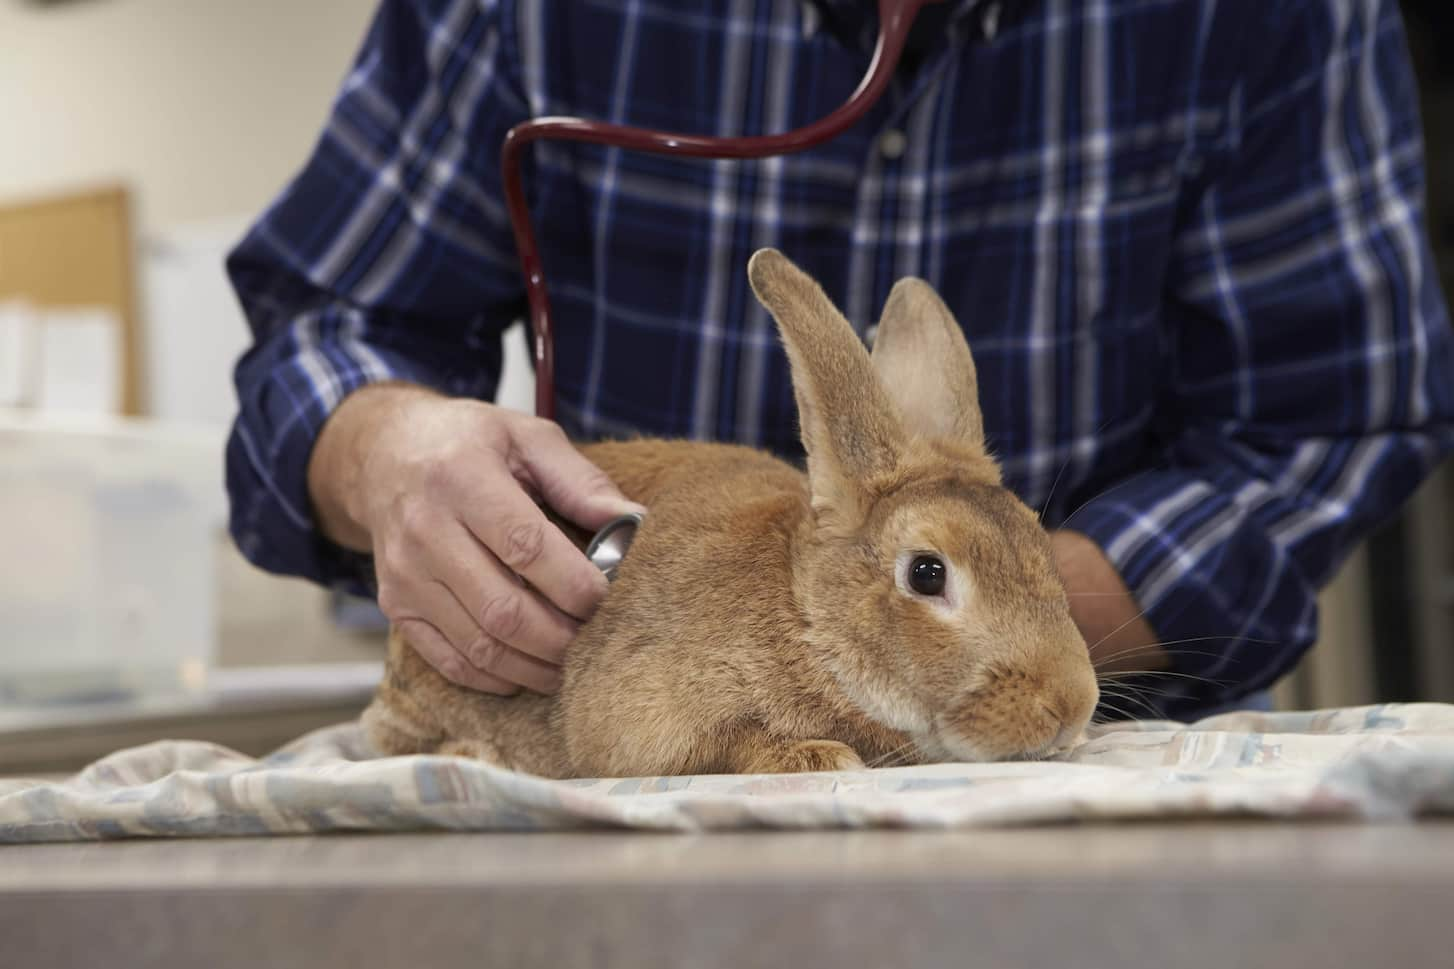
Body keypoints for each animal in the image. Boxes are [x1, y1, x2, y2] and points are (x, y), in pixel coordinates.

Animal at [363, 248, 1099, 779]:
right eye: (926, 572)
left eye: (1043, 552)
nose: (1072, 705)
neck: (807, 619)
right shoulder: (642, 718)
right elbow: (722, 743)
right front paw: (813, 757)